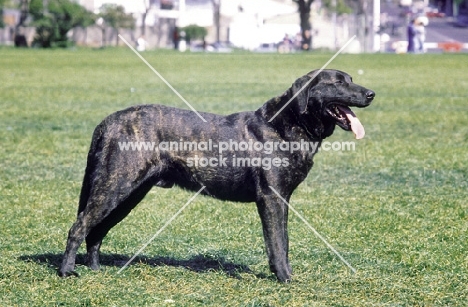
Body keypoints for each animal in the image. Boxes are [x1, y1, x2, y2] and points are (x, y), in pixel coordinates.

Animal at [58, 69, 374, 282]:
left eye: (351, 78)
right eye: (338, 82)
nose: (371, 94)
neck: (289, 124)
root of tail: (107, 122)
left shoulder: (282, 199)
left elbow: (282, 241)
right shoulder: (271, 198)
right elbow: (276, 243)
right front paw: (285, 279)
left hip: (129, 194)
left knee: (95, 231)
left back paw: (95, 270)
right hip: (115, 186)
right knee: (79, 226)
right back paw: (66, 271)